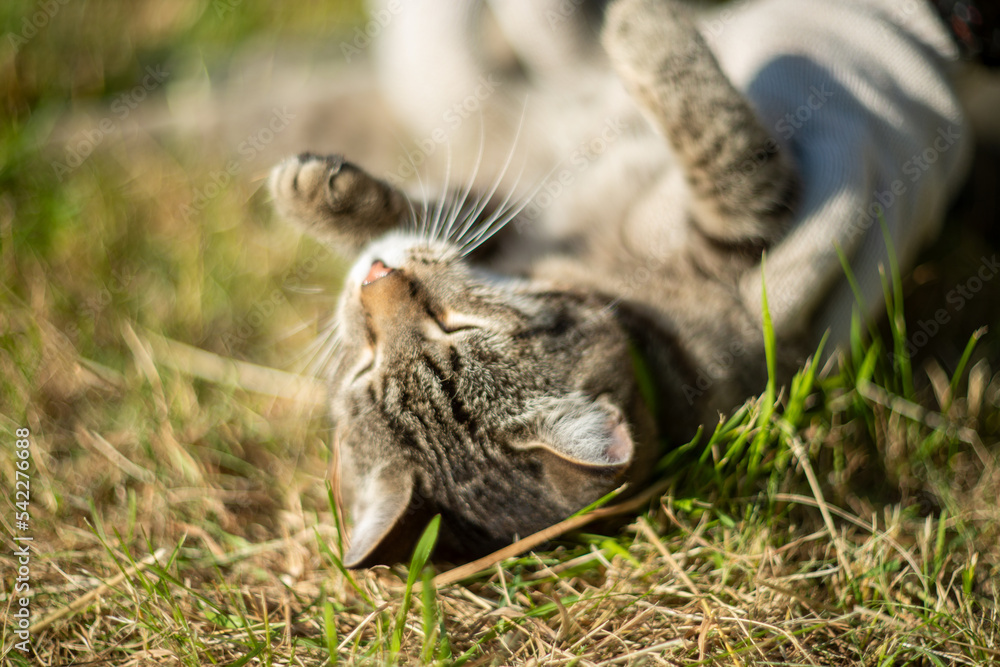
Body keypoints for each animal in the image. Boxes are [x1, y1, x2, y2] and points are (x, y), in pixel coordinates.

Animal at [266, 0, 968, 568]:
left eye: (454, 326)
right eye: (368, 362)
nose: (376, 280)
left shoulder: (531, 213)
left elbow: (438, 207)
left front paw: (317, 192)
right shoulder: (748, 226)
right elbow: (720, 138)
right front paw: (641, 26)